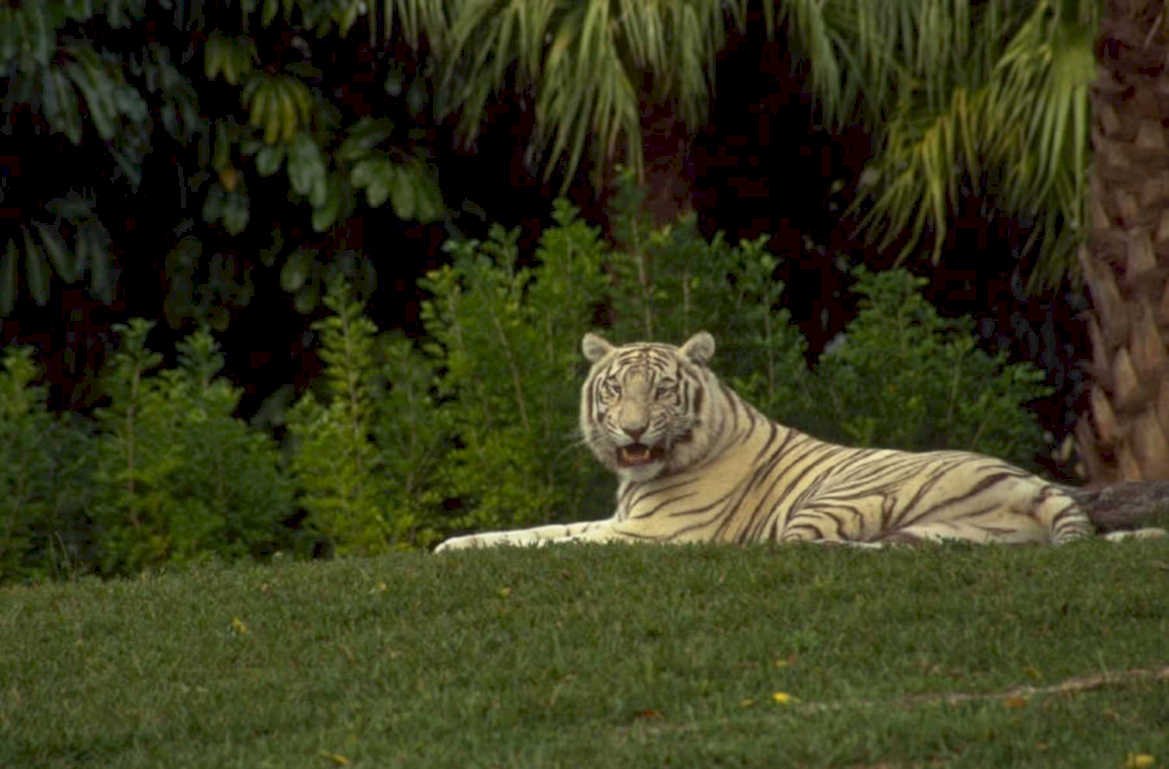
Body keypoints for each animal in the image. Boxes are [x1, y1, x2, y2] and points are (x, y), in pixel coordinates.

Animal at [434, 331, 1168, 552]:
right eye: (615, 390)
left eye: (662, 391)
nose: (634, 427)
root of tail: (1036, 482)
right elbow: (535, 530)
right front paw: (452, 545)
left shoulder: (650, 533)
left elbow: (554, 540)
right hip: (945, 533)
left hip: (835, 500)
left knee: (810, 548)